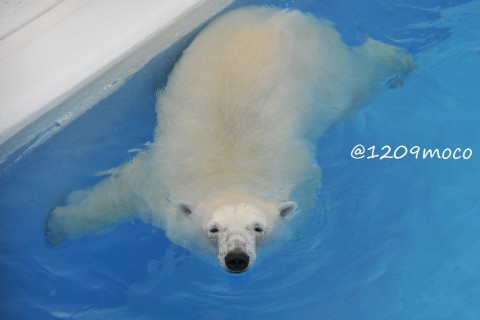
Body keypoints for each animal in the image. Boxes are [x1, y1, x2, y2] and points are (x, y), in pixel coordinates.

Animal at [46, 6, 412, 272]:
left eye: (258, 228)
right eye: (214, 228)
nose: (237, 258)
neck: (230, 173)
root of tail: (281, 12)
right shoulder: (157, 183)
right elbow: (116, 195)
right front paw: (55, 227)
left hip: (327, 78)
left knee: (360, 80)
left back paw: (399, 60)